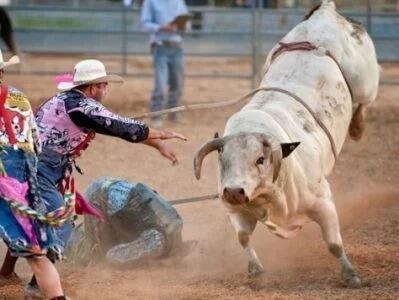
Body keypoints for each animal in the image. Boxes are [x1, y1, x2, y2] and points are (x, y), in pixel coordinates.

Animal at [195, 0, 380, 288]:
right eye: (222, 160)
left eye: (260, 159)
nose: (234, 191)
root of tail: (325, 13)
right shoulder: (234, 209)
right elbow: (243, 238)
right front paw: (256, 272)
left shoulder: (323, 201)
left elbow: (334, 244)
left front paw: (352, 275)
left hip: (365, 81)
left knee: (364, 100)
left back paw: (358, 128)